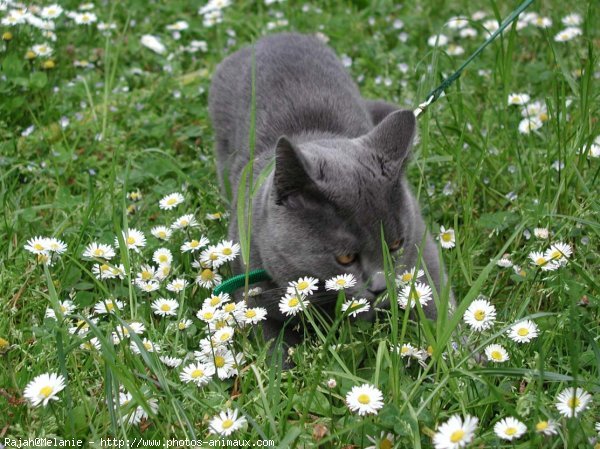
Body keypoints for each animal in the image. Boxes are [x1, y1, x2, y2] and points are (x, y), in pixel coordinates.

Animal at [209, 33, 448, 344]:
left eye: (396, 244)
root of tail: (274, 35)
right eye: (345, 257)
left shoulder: (422, 246)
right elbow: (272, 343)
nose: (380, 286)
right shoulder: (250, 287)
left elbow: (435, 299)